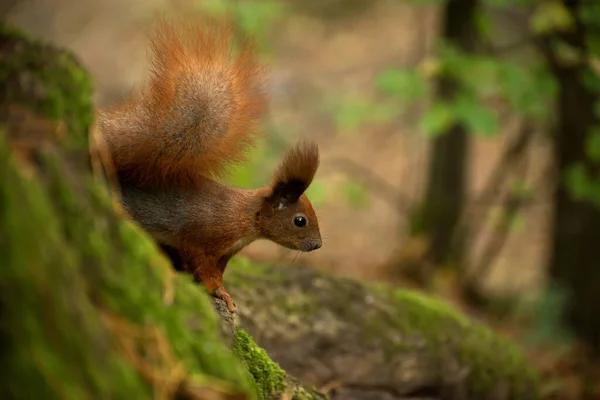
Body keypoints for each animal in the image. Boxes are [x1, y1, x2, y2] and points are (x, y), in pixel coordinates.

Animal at [97, 17, 324, 314]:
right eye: (300, 221)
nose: (318, 245)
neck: (246, 217)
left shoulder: (226, 253)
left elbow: (216, 272)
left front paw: (222, 291)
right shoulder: (202, 239)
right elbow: (204, 269)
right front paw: (220, 293)